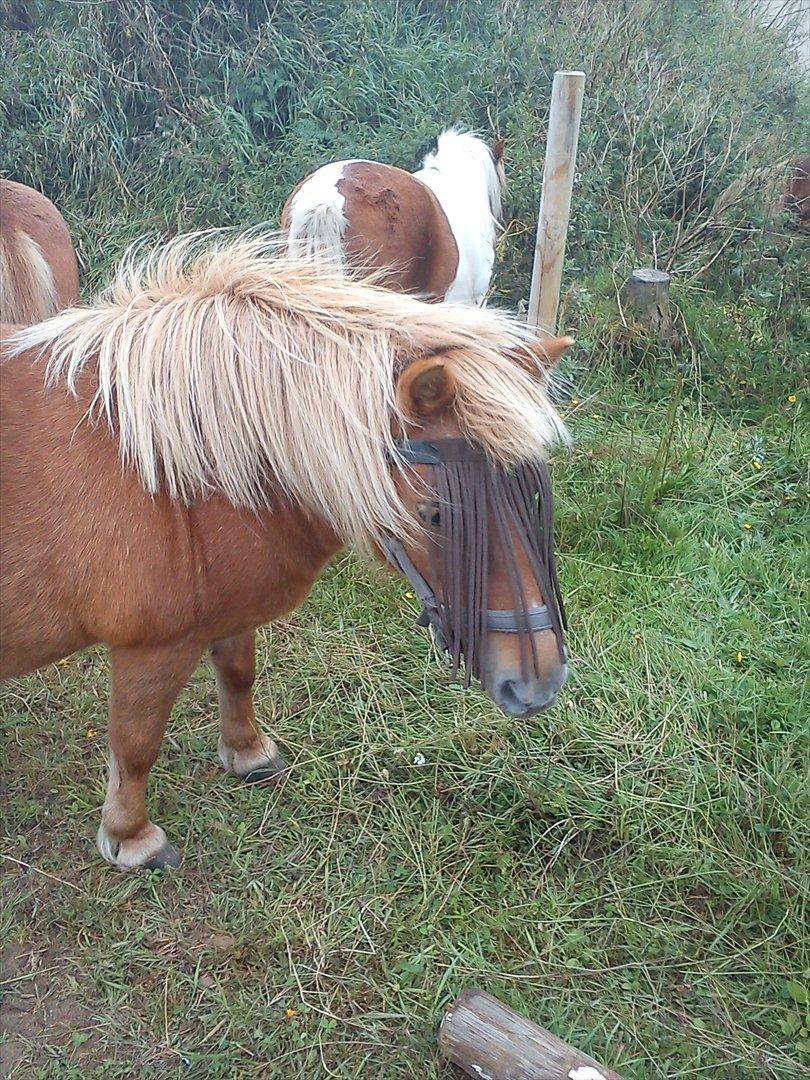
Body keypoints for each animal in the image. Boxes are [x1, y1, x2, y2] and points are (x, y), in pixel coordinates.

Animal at [0, 234, 570, 868]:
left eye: (531, 497)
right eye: (436, 514)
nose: (538, 686)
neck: (176, 472)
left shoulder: (225, 613)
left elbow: (238, 674)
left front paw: (249, 753)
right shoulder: (151, 648)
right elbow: (136, 741)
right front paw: (131, 836)